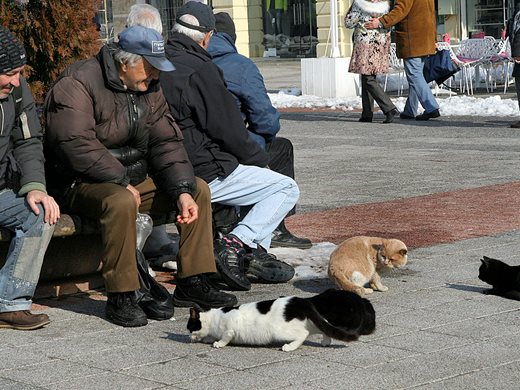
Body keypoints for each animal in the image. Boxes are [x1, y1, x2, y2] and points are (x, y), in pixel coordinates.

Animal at [187, 288, 374, 352]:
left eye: (189, 327)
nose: (188, 337)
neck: (214, 317)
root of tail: (301, 300)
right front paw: (209, 338)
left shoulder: (231, 327)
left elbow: (225, 337)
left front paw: (217, 343)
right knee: (322, 327)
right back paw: (326, 341)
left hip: (280, 330)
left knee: (303, 334)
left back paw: (289, 347)